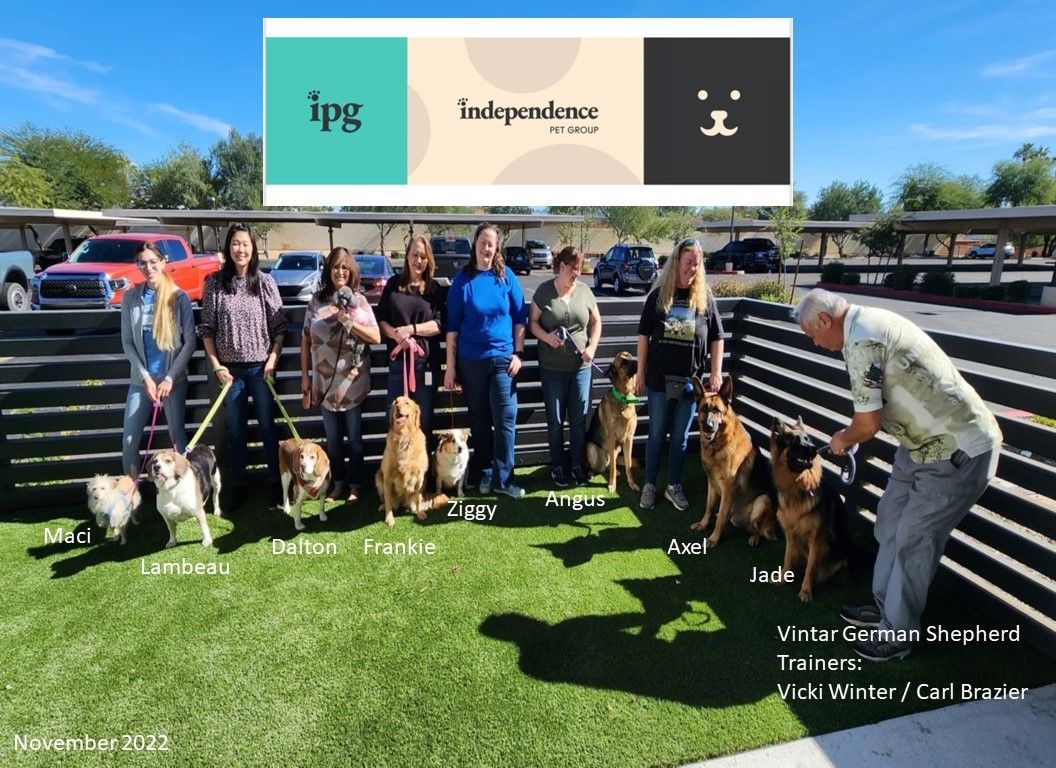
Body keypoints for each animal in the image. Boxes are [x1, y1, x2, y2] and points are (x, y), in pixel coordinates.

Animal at [375, 397, 445, 528]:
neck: (404, 436)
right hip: (378, 476)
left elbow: (418, 498)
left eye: (407, 403)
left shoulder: (420, 475)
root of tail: (402, 502)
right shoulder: (387, 476)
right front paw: (389, 519)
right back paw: (383, 506)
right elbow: (388, 500)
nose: (398, 407)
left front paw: (420, 513)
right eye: (396, 402)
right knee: (388, 500)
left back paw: (413, 507)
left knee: (413, 499)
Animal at [582, 352, 637, 492]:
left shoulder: (629, 439)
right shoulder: (612, 438)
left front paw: (632, 483)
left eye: (629, 355)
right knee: (597, 467)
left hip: (618, 449)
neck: (623, 399)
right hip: (591, 448)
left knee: (609, 466)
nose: (638, 362)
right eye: (622, 363)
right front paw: (612, 485)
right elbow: (613, 466)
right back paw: (590, 473)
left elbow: (628, 464)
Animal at [688, 376, 781, 545]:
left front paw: (714, 538)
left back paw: (754, 538)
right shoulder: (711, 482)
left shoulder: (728, 488)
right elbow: (708, 507)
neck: (718, 446)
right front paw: (704, 524)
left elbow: (720, 517)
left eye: (717, 410)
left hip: (762, 501)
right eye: (704, 408)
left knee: (758, 528)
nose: (708, 427)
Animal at [772, 420, 853, 600]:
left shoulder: (816, 538)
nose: (814, 448)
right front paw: (784, 577)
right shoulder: (790, 534)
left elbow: (810, 568)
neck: (798, 488)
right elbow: (787, 557)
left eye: (807, 439)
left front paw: (806, 591)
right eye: (794, 441)